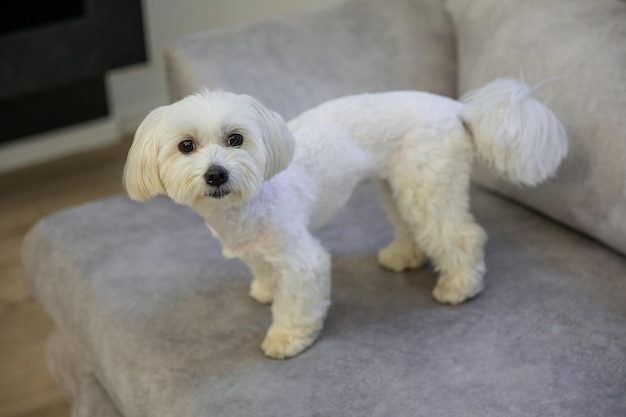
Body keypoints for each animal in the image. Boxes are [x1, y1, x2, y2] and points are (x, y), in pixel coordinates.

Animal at [122, 77, 564, 358]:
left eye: (236, 138)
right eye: (186, 145)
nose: (216, 174)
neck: (246, 201)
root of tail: (455, 107)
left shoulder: (302, 259)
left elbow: (297, 301)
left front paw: (287, 338)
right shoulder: (258, 250)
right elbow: (264, 272)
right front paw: (265, 290)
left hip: (427, 186)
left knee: (459, 235)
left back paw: (460, 286)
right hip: (395, 185)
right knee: (411, 227)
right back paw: (403, 257)